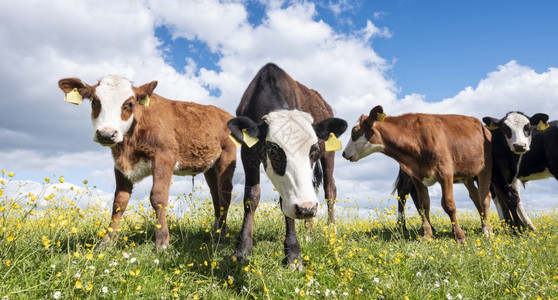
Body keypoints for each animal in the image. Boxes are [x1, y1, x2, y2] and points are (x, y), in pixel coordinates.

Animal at [58, 75, 237, 248]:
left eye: (129, 104)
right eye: (95, 101)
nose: (106, 134)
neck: (129, 146)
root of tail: (222, 112)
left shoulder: (165, 157)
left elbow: (158, 197)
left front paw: (162, 241)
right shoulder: (120, 166)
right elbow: (119, 202)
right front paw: (106, 243)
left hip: (226, 159)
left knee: (225, 195)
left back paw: (221, 238)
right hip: (210, 167)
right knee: (216, 197)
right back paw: (216, 234)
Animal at [226, 62, 348, 268]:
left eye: (314, 149)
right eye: (274, 150)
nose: (307, 208)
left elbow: (284, 202)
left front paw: (293, 253)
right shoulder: (247, 153)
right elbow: (251, 196)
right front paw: (242, 250)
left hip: (329, 155)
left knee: (330, 189)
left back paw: (331, 231)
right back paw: (308, 235)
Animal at [342, 105, 494, 244]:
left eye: (355, 131)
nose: (343, 153)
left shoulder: (445, 173)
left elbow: (449, 204)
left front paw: (459, 237)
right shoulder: (417, 176)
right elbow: (423, 204)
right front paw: (426, 235)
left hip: (485, 169)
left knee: (484, 197)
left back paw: (487, 230)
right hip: (467, 175)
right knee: (475, 197)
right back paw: (483, 226)